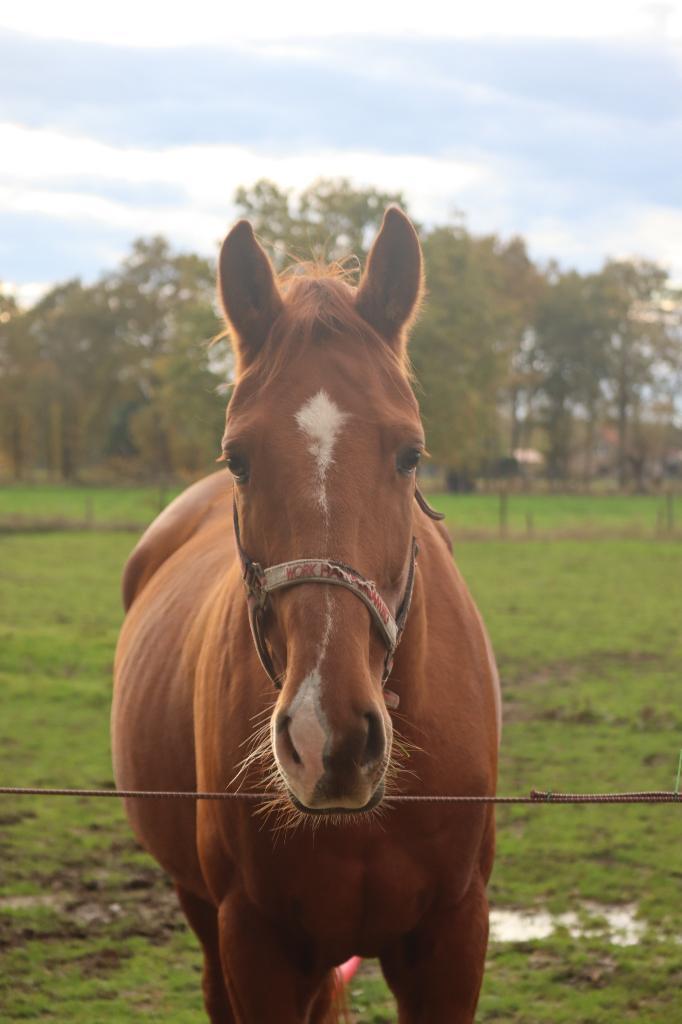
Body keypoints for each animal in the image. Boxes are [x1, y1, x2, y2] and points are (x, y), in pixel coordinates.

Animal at [111, 207, 501, 1023]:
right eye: (238, 458)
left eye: (411, 454)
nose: (330, 739)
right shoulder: (256, 943)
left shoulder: (454, 938)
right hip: (201, 908)